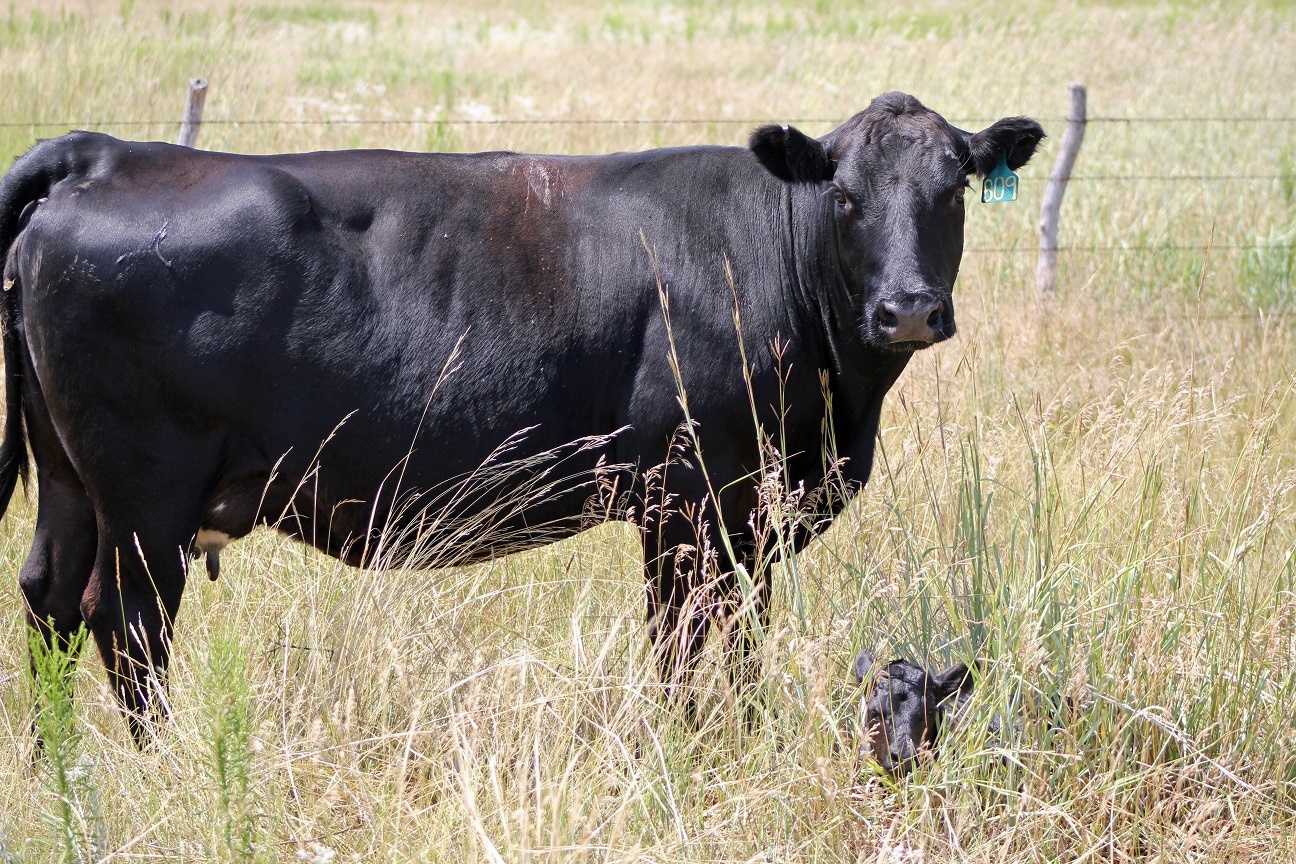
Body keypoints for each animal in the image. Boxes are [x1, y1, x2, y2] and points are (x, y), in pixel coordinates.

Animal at [0, 96, 1041, 746]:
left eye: (953, 188)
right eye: (846, 195)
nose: (908, 309)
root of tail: (110, 155)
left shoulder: (750, 515)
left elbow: (740, 639)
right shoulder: (690, 500)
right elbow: (687, 643)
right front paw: (698, 750)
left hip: (72, 482)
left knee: (48, 599)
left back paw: (62, 766)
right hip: (147, 495)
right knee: (125, 622)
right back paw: (159, 762)